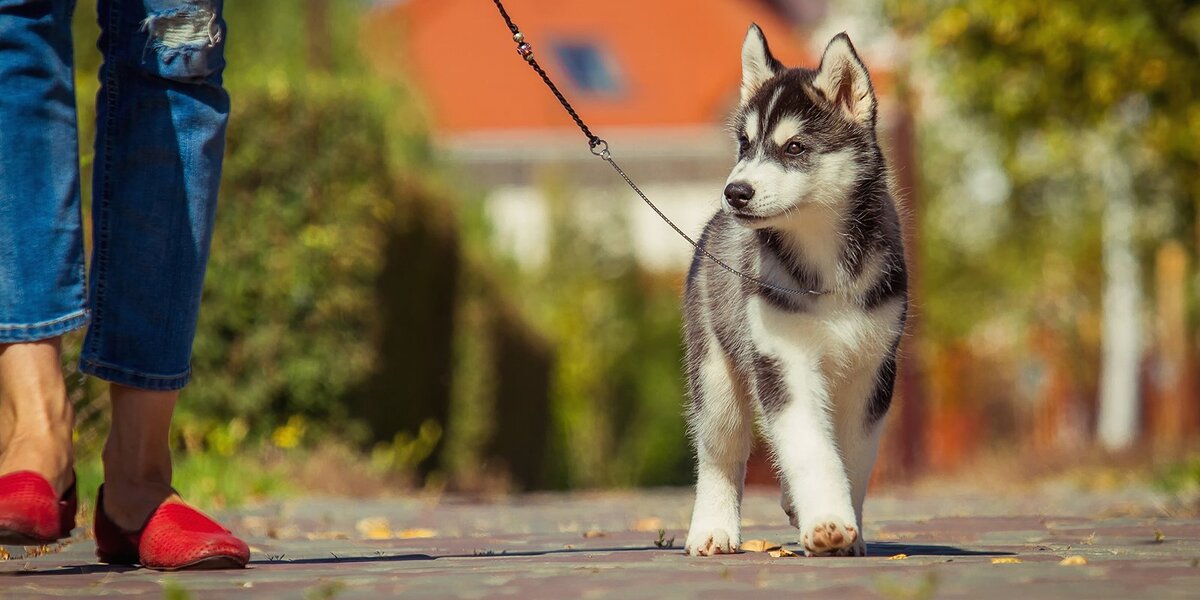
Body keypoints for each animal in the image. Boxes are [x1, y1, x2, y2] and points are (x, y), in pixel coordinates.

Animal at [681, 25, 902, 554]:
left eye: (795, 147)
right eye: (744, 144)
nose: (735, 192)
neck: (826, 266)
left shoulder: (873, 372)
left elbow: (852, 458)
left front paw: (847, 528)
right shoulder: (783, 361)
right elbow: (810, 446)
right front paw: (827, 522)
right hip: (717, 374)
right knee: (720, 453)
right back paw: (713, 529)